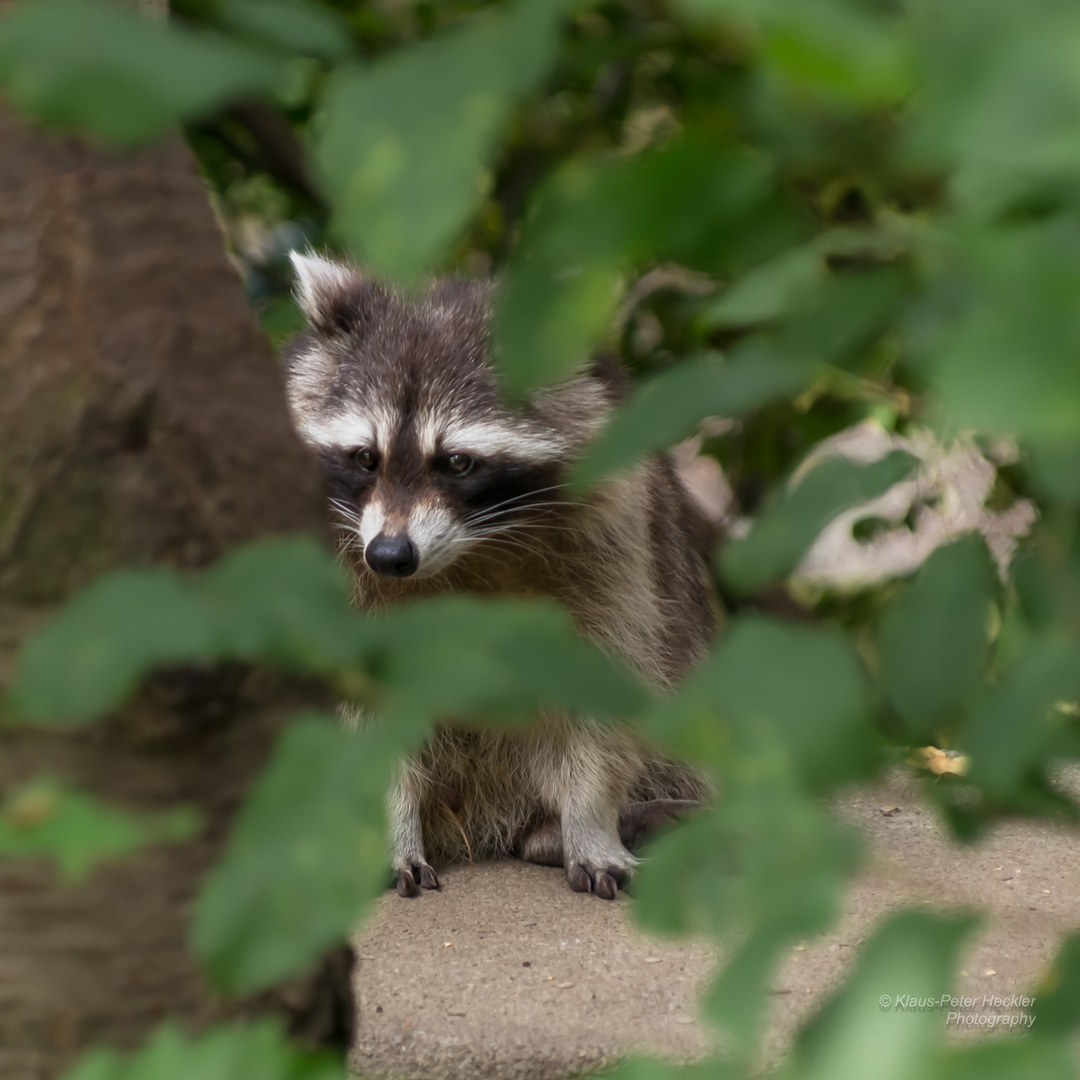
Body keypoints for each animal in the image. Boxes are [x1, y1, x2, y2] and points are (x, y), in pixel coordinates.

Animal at [280, 254, 717, 902]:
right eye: (365, 458)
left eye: (457, 462)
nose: (388, 555)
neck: (466, 551)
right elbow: (357, 705)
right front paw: (388, 827)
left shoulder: (616, 539)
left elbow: (605, 678)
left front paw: (591, 821)